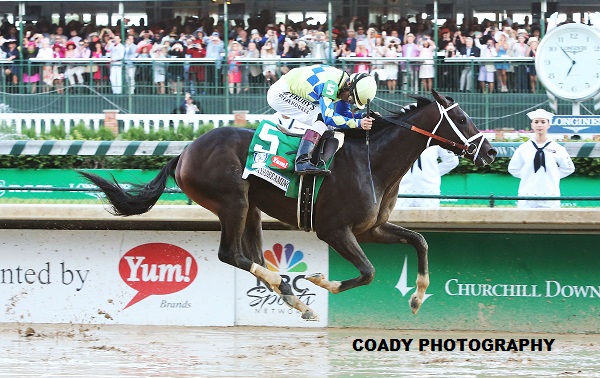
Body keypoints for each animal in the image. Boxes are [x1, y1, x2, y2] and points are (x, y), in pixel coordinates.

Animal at [82, 90, 500, 320]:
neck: (373, 161)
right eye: (463, 118)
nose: (492, 152)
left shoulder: (371, 228)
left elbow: (420, 241)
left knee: (251, 254)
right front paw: (320, 280)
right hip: (232, 201)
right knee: (230, 254)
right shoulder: (334, 230)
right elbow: (367, 272)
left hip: (250, 208)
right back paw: (288, 288)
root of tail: (183, 153)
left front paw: (416, 298)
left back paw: (290, 293)